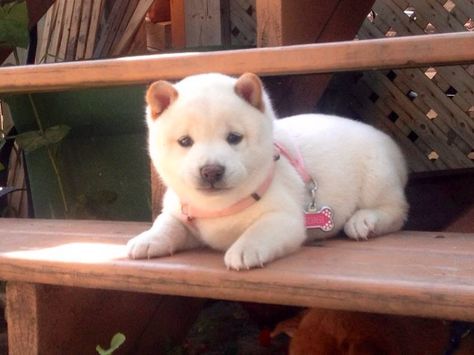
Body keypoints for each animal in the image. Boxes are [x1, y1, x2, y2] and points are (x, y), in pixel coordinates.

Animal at [128, 73, 410, 272]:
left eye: (234, 138)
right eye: (185, 141)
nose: (211, 171)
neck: (220, 206)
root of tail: (389, 142)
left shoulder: (285, 218)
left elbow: (259, 230)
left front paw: (245, 249)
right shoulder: (181, 213)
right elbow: (166, 224)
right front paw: (148, 238)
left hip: (377, 176)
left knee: (396, 211)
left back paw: (364, 220)